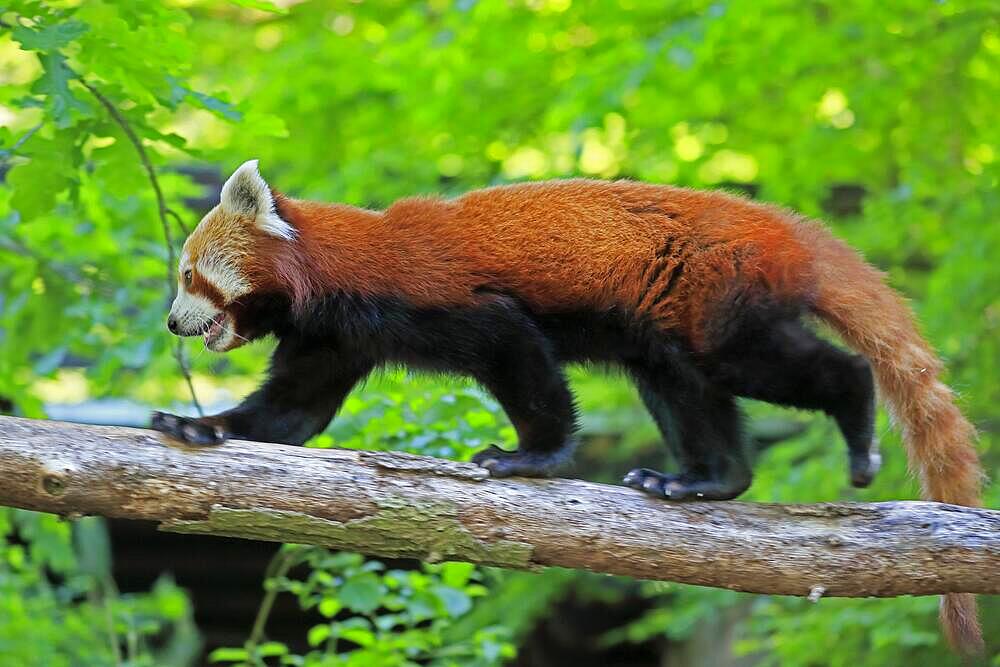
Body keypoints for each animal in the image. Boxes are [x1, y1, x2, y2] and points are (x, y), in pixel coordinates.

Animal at [154, 158, 984, 652]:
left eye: (191, 276)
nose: (170, 322)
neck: (333, 276)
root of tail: (786, 228)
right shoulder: (332, 339)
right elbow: (288, 415)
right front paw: (200, 426)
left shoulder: (445, 300)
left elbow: (525, 362)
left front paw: (533, 457)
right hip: (669, 324)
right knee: (684, 387)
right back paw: (702, 479)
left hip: (721, 296)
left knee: (795, 366)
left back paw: (853, 415)